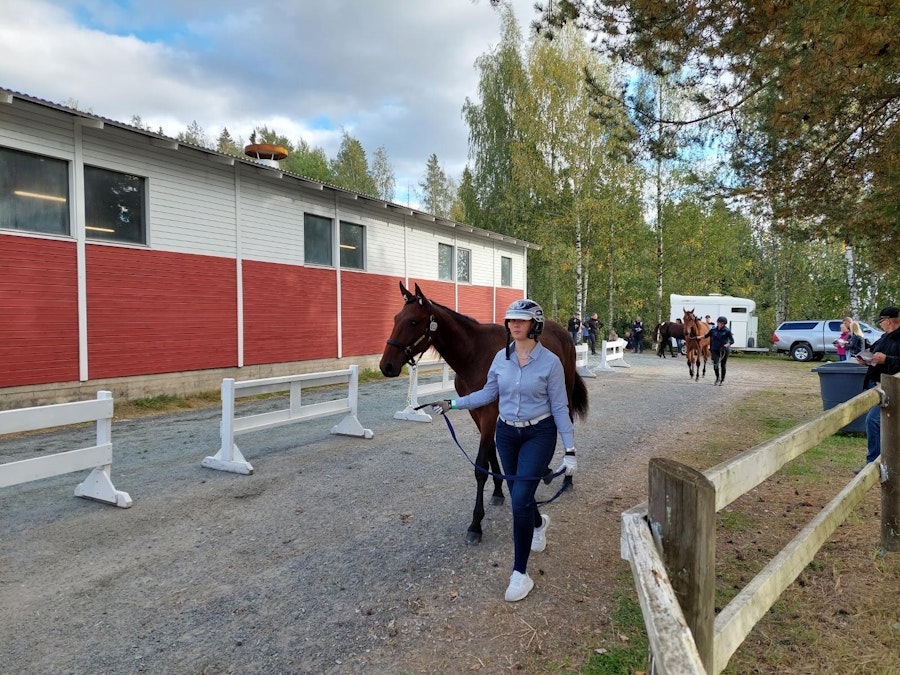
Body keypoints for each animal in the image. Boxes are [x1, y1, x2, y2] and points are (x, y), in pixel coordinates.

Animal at [380, 282, 592, 548]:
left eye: (412, 322)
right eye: (395, 318)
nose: (386, 366)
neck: (474, 354)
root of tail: (563, 332)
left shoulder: (490, 412)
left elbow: (480, 466)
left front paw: (476, 523)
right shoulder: (477, 412)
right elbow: (491, 452)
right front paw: (499, 491)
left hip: (563, 391)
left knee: (565, 425)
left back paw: (567, 478)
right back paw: (542, 471)